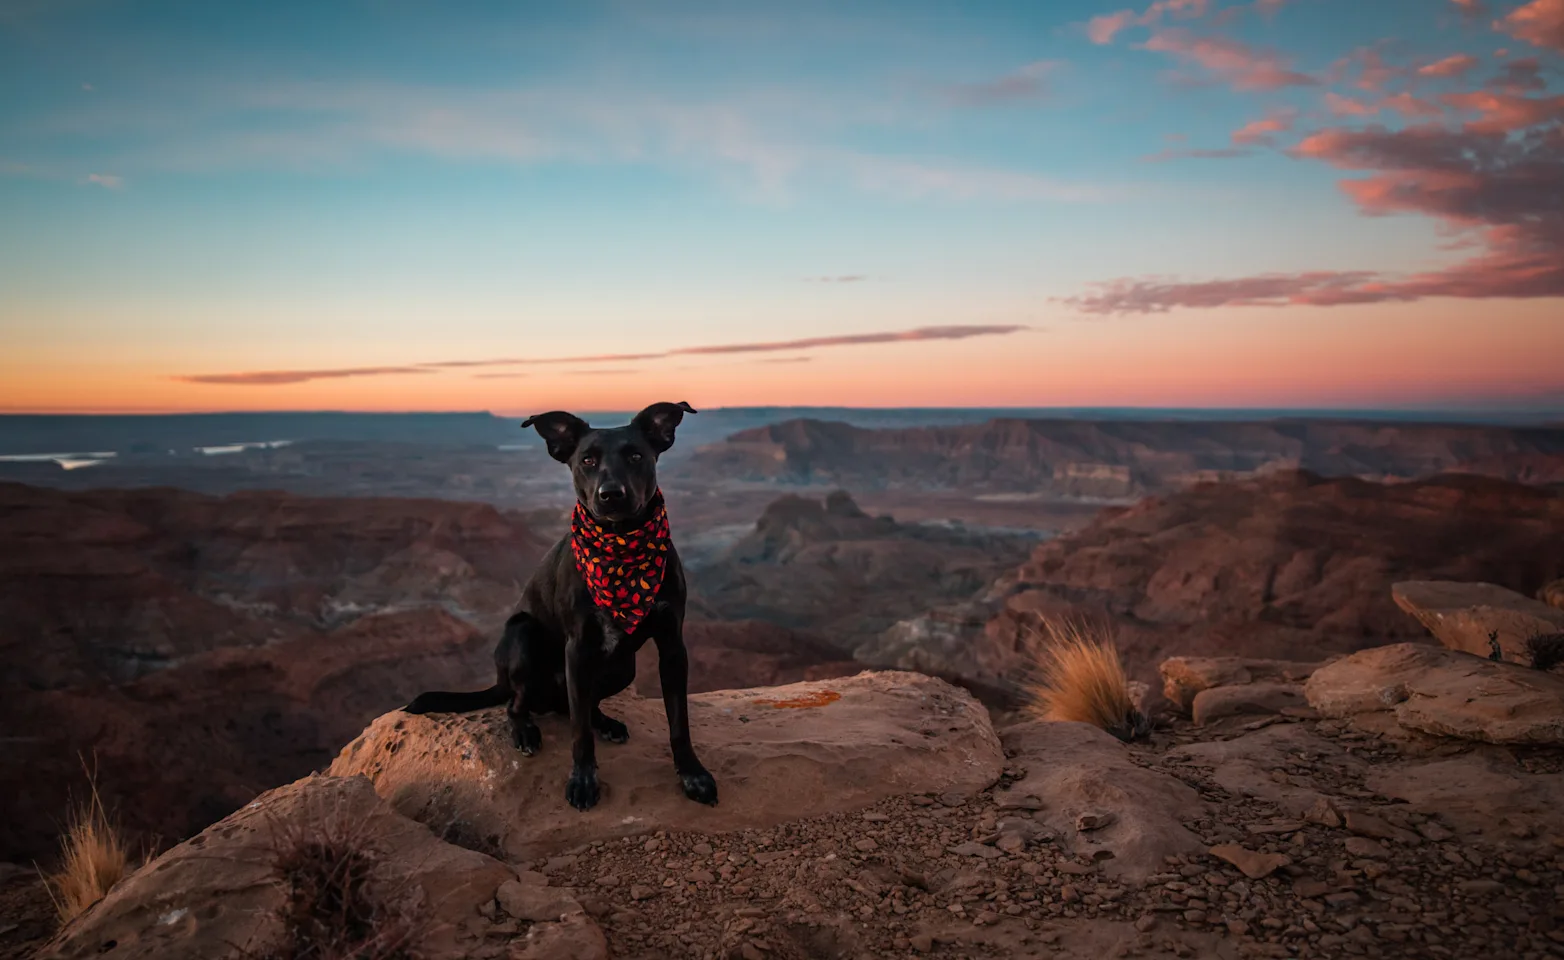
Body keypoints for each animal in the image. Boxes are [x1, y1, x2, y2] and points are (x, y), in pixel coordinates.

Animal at [403, 398, 719, 813]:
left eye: (636, 455)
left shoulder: (672, 646)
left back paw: (605, 722)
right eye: (587, 460)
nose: (610, 494)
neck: (621, 548)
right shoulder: (578, 648)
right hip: (523, 639)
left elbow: (679, 722)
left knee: (574, 707)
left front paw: (692, 774)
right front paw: (583, 781)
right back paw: (524, 730)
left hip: (624, 667)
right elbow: (578, 735)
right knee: (519, 704)